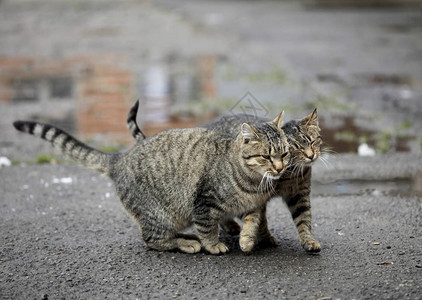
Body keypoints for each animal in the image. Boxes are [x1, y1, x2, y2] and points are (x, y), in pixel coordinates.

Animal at [12, 113, 290, 254]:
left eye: (285, 153)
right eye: (266, 156)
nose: (280, 168)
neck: (252, 181)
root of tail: (121, 157)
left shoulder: (253, 206)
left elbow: (254, 222)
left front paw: (248, 239)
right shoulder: (204, 203)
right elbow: (208, 228)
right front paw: (213, 245)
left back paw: (186, 236)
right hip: (159, 213)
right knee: (151, 240)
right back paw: (186, 243)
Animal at [127, 99, 322, 252]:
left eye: (313, 141)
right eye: (295, 147)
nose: (311, 155)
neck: (291, 175)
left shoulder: (299, 194)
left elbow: (304, 219)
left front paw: (309, 240)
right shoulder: (257, 198)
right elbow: (260, 221)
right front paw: (263, 238)